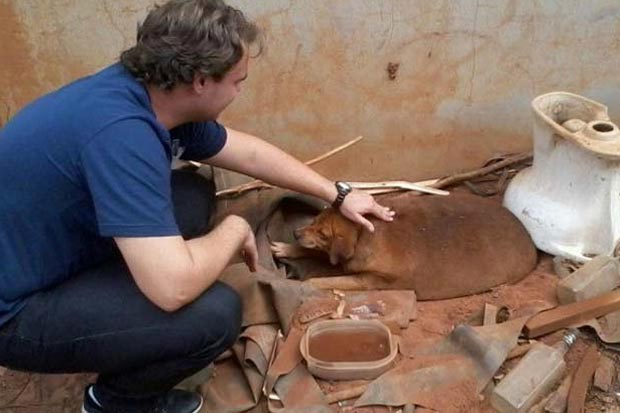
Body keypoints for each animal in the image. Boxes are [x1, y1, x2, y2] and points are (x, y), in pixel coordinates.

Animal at [272, 190, 536, 300]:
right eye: (314, 220)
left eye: (323, 233)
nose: (295, 233)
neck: (364, 233)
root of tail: (530, 242)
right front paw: (286, 248)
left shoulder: (370, 280)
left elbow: (326, 280)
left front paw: (304, 282)